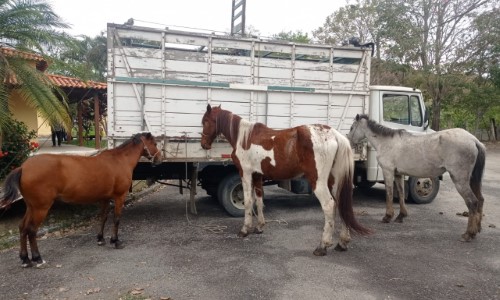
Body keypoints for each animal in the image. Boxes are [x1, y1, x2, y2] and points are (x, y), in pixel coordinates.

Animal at [0, 132, 160, 266]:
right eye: (155, 143)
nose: (159, 159)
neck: (119, 160)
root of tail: (23, 168)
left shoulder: (105, 199)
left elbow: (103, 217)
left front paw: (100, 239)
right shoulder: (119, 197)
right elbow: (116, 219)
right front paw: (115, 241)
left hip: (31, 207)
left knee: (22, 228)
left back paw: (25, 259)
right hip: (41, 208)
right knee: (31, 230)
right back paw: (37, 258)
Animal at [200, 105, 372, 255]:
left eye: (205, 121)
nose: (204, 144)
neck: (244, 137)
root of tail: (334, 134)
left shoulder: (246, 173)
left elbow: (248, 201)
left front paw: (244, 230)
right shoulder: (257, 176)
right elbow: (259, 201)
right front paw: (259, 227)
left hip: (319, 182)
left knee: (329, 206)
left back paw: (322, 246)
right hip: (335, 181)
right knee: (343, 203)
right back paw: (342, 242)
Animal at [348, 113, 484, 243]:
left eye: (352, 128)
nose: (349, 142)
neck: (386, 142)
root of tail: (474, 140)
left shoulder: (388, 172)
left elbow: (389, 194)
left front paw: (387, 216)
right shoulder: (398, 174)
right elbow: (401, 193)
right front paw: (401, 216)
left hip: (460, 181)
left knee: (472, 202)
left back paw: (468, 235)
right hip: (472, 180)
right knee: (480, 200)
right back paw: (476, 230)